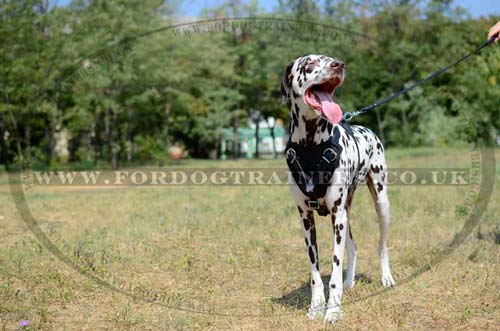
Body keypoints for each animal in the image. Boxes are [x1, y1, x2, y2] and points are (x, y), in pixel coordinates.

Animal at [282, 55, 394, 324]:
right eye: (309, 64)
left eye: (329, 58)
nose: (339, 65)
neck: (311, 148)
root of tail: (367, 129)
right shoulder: (306, 218)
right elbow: (316, 272)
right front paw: (316, 306)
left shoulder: (337, 216)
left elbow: (333, 270)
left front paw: (333, 310)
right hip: (345, 213)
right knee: (352, 247)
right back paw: (350, 280)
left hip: (380, 203)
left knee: (382, 245)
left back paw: (386, 278)